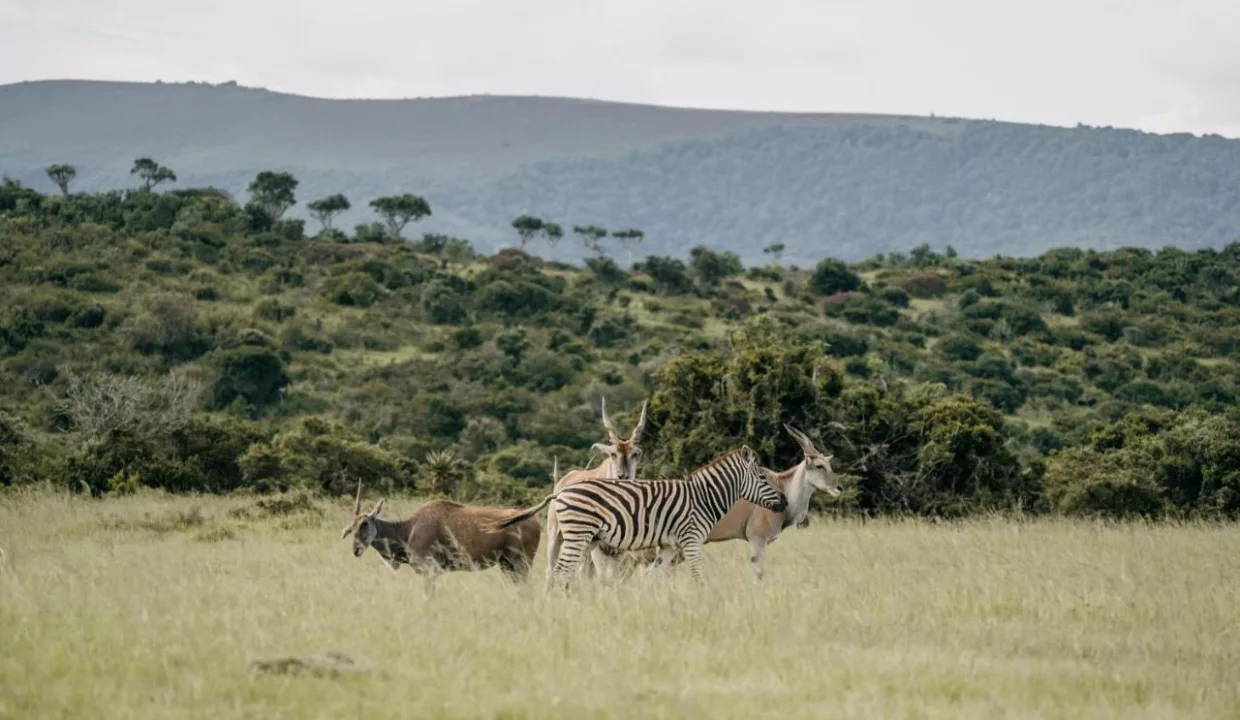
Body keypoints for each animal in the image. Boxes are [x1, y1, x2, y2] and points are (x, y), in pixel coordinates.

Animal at [339, 480, 538, 592]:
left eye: (364, 524)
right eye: (352, 526)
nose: (356, 549)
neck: (409, 529)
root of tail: (533, 519)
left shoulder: (430, 571)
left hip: (521, 565)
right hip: (507, 566)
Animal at [548, 396, 654, 587]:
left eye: (635, 454)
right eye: (612, 453)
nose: (623, 476)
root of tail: (561, 483)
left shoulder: (619, 550)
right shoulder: (598, 548)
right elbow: (603, 578)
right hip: (555, 537)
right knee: (551, 570)